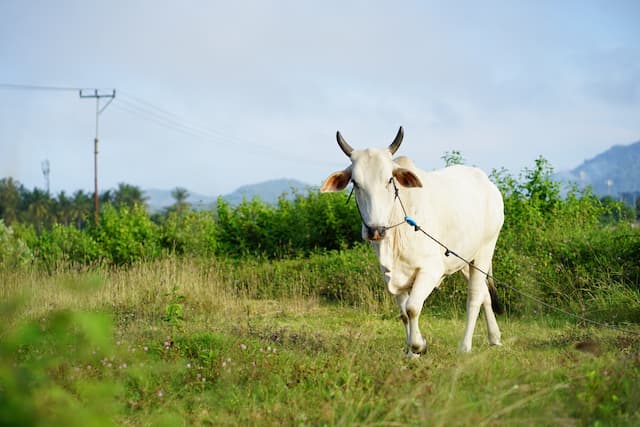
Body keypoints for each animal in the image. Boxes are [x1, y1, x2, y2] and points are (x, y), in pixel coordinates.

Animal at [320, 127, 504, 358]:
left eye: (390, 180)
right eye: (355, 182)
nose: (375, 230)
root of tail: (488, 184)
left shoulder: (430, 270)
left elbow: (413, 308)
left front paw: (418, 346)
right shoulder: (390, 275)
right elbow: (404, 313)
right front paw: (411, 352)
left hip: (485, 251)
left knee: (475, 297)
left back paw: (465, 346)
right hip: (464, 259)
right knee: (485, 295)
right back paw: (494, 337)